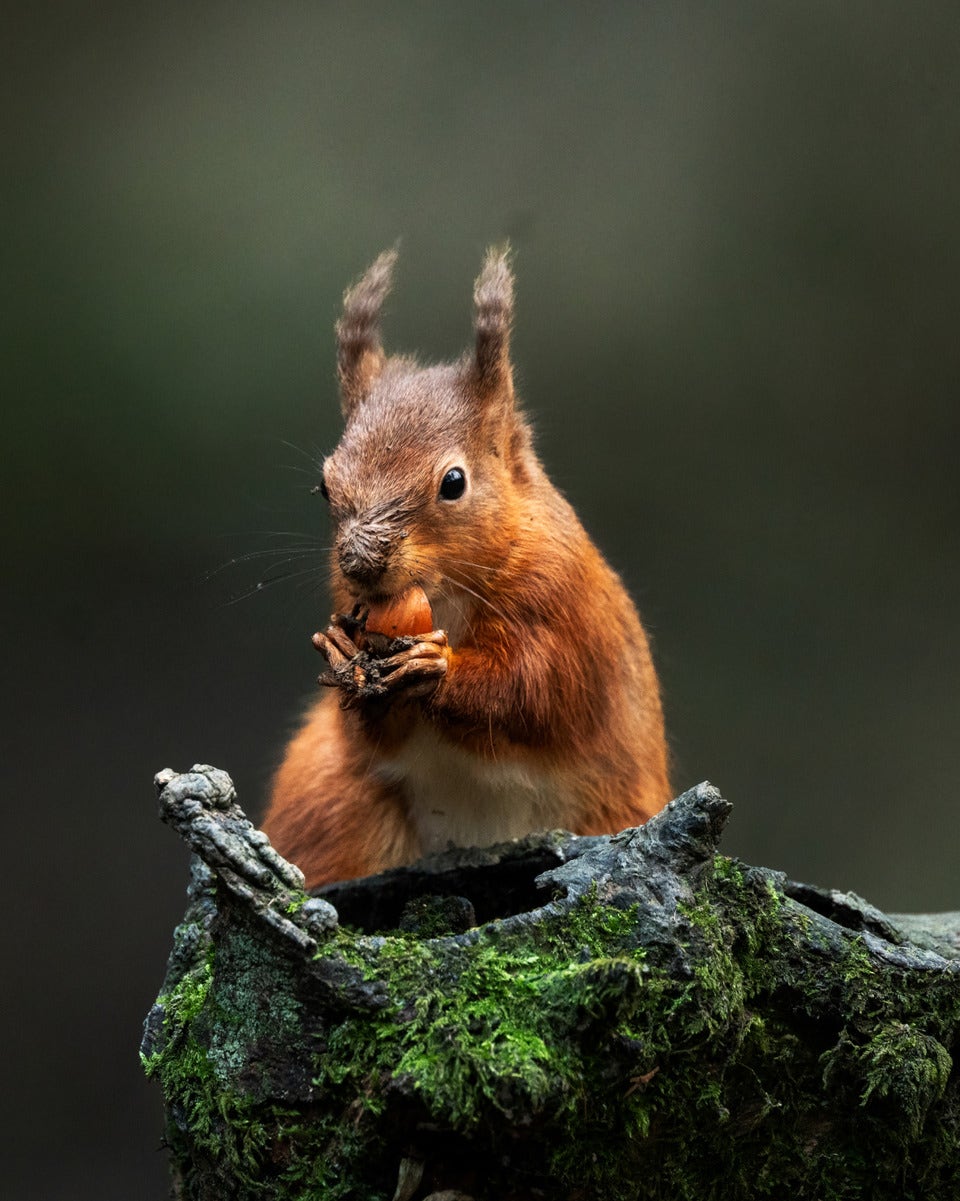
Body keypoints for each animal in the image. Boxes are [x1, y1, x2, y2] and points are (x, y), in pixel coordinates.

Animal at [259, 248, 672, 888]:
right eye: (325, 487)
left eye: (454, 482)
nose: (360, 562)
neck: (442, 593)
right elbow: (373, 733)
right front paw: (342, 652)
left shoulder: (567, 609)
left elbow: (536, 691)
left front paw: (435, 668)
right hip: (337, 803)